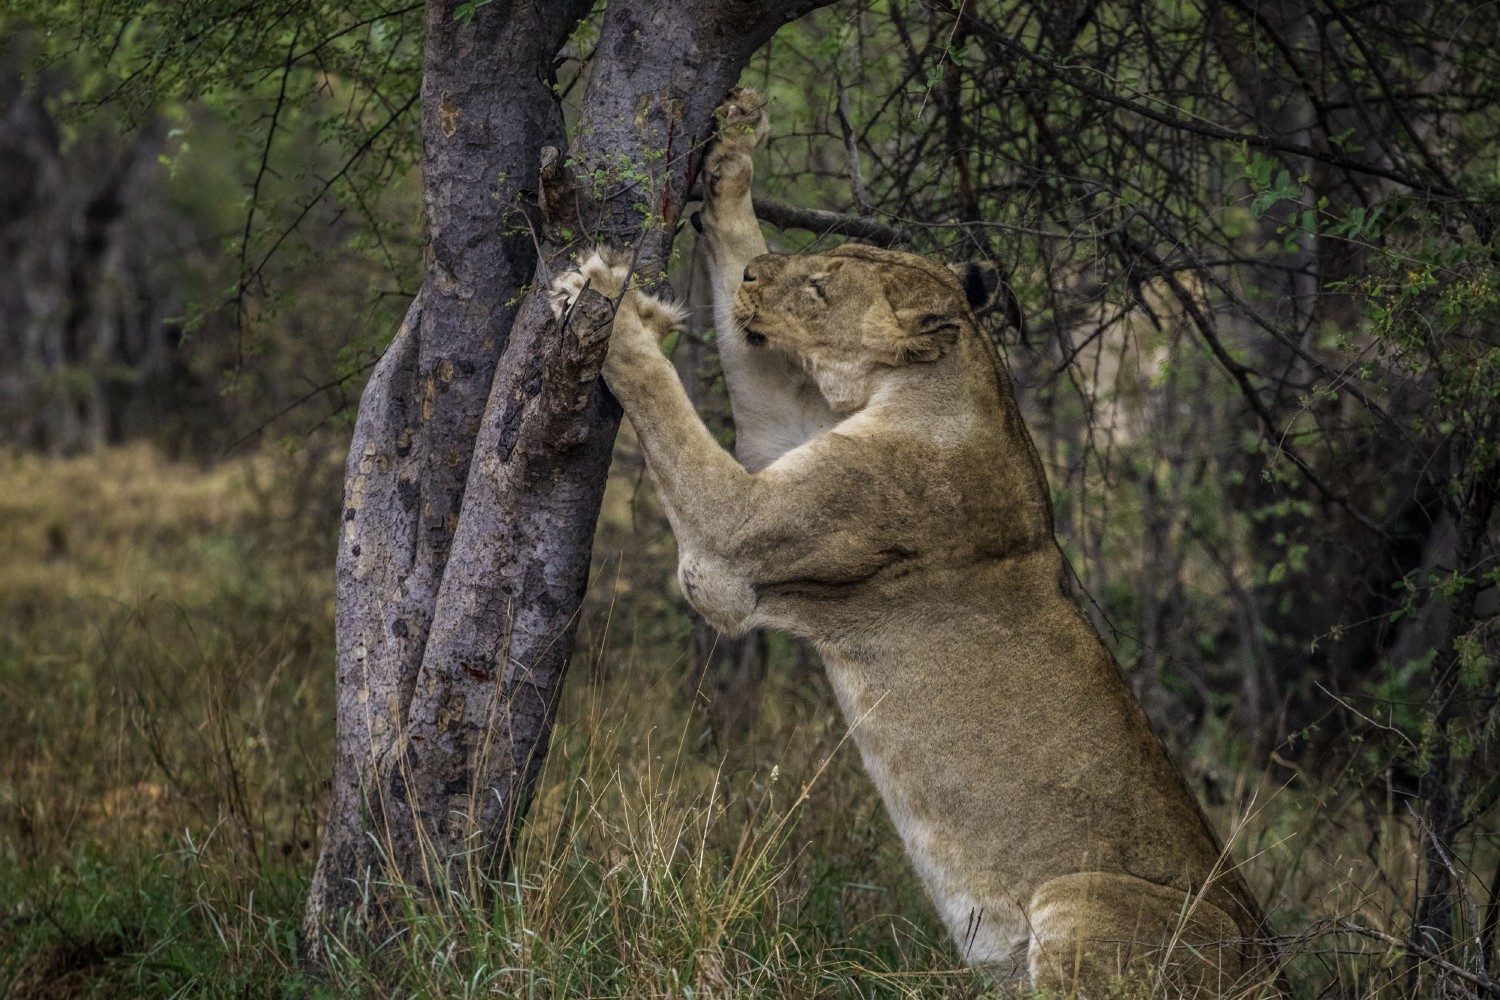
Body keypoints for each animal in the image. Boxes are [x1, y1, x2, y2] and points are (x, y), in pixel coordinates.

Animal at [548, 88, 1275, 997]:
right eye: (829, 253)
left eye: (820, 286)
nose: (756, 278)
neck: (951, 382)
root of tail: (1270, 963)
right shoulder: (781, 437)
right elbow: (743, 334)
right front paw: (735, 153)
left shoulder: (734, 546)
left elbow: (668, 405)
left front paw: (607, 303)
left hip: (1084, 898)